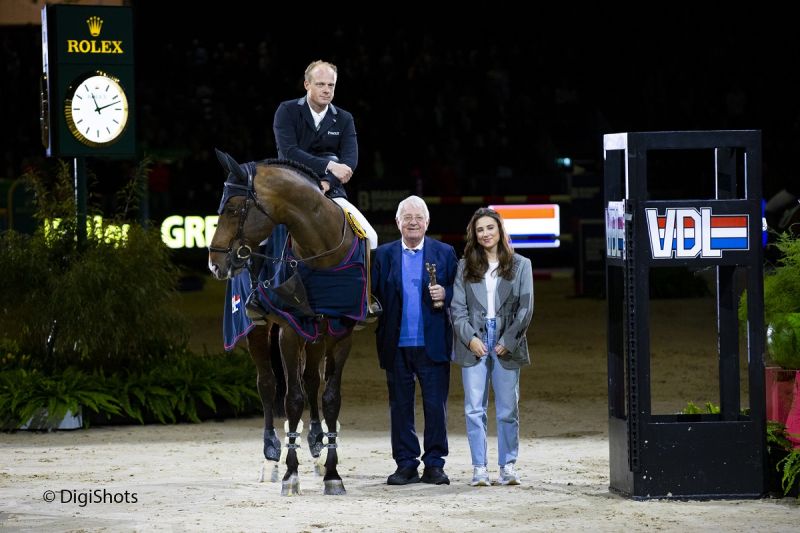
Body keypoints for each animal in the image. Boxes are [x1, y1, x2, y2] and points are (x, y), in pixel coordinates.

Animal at [209, 149, 366, 494]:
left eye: (233, 209)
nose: (214, 264)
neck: (321, 248)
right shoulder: (290, 332)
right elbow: (292, 399)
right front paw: (290, 474)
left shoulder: (341, 331)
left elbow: (329, 398)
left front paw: (332, 473)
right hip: (258, 329)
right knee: (267, 384)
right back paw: (270, 455)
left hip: (318, 333)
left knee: (311, 381)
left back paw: (317, 443)